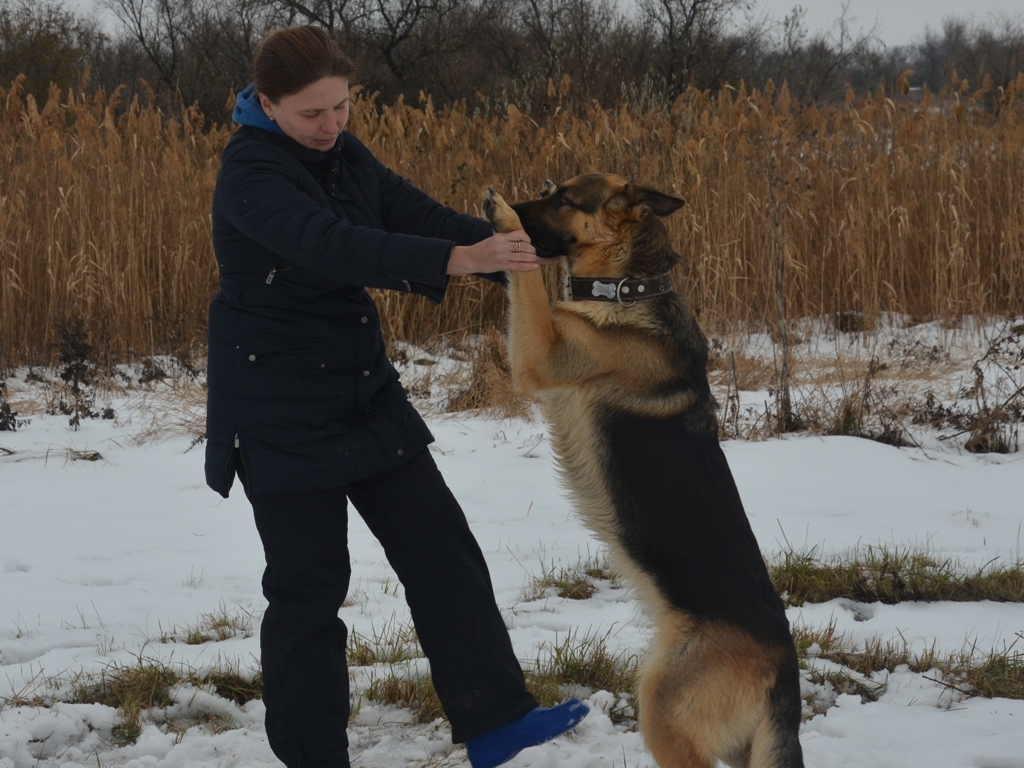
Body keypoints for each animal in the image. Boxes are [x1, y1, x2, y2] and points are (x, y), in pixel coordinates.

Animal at [483, 176, 802, 768]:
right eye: (550, 188)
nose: (499, 202)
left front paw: (505, 222)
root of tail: (784, 668)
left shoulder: (541, 353)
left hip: (662, 708)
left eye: (563, 199)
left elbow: (530, 285)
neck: (630, 288)